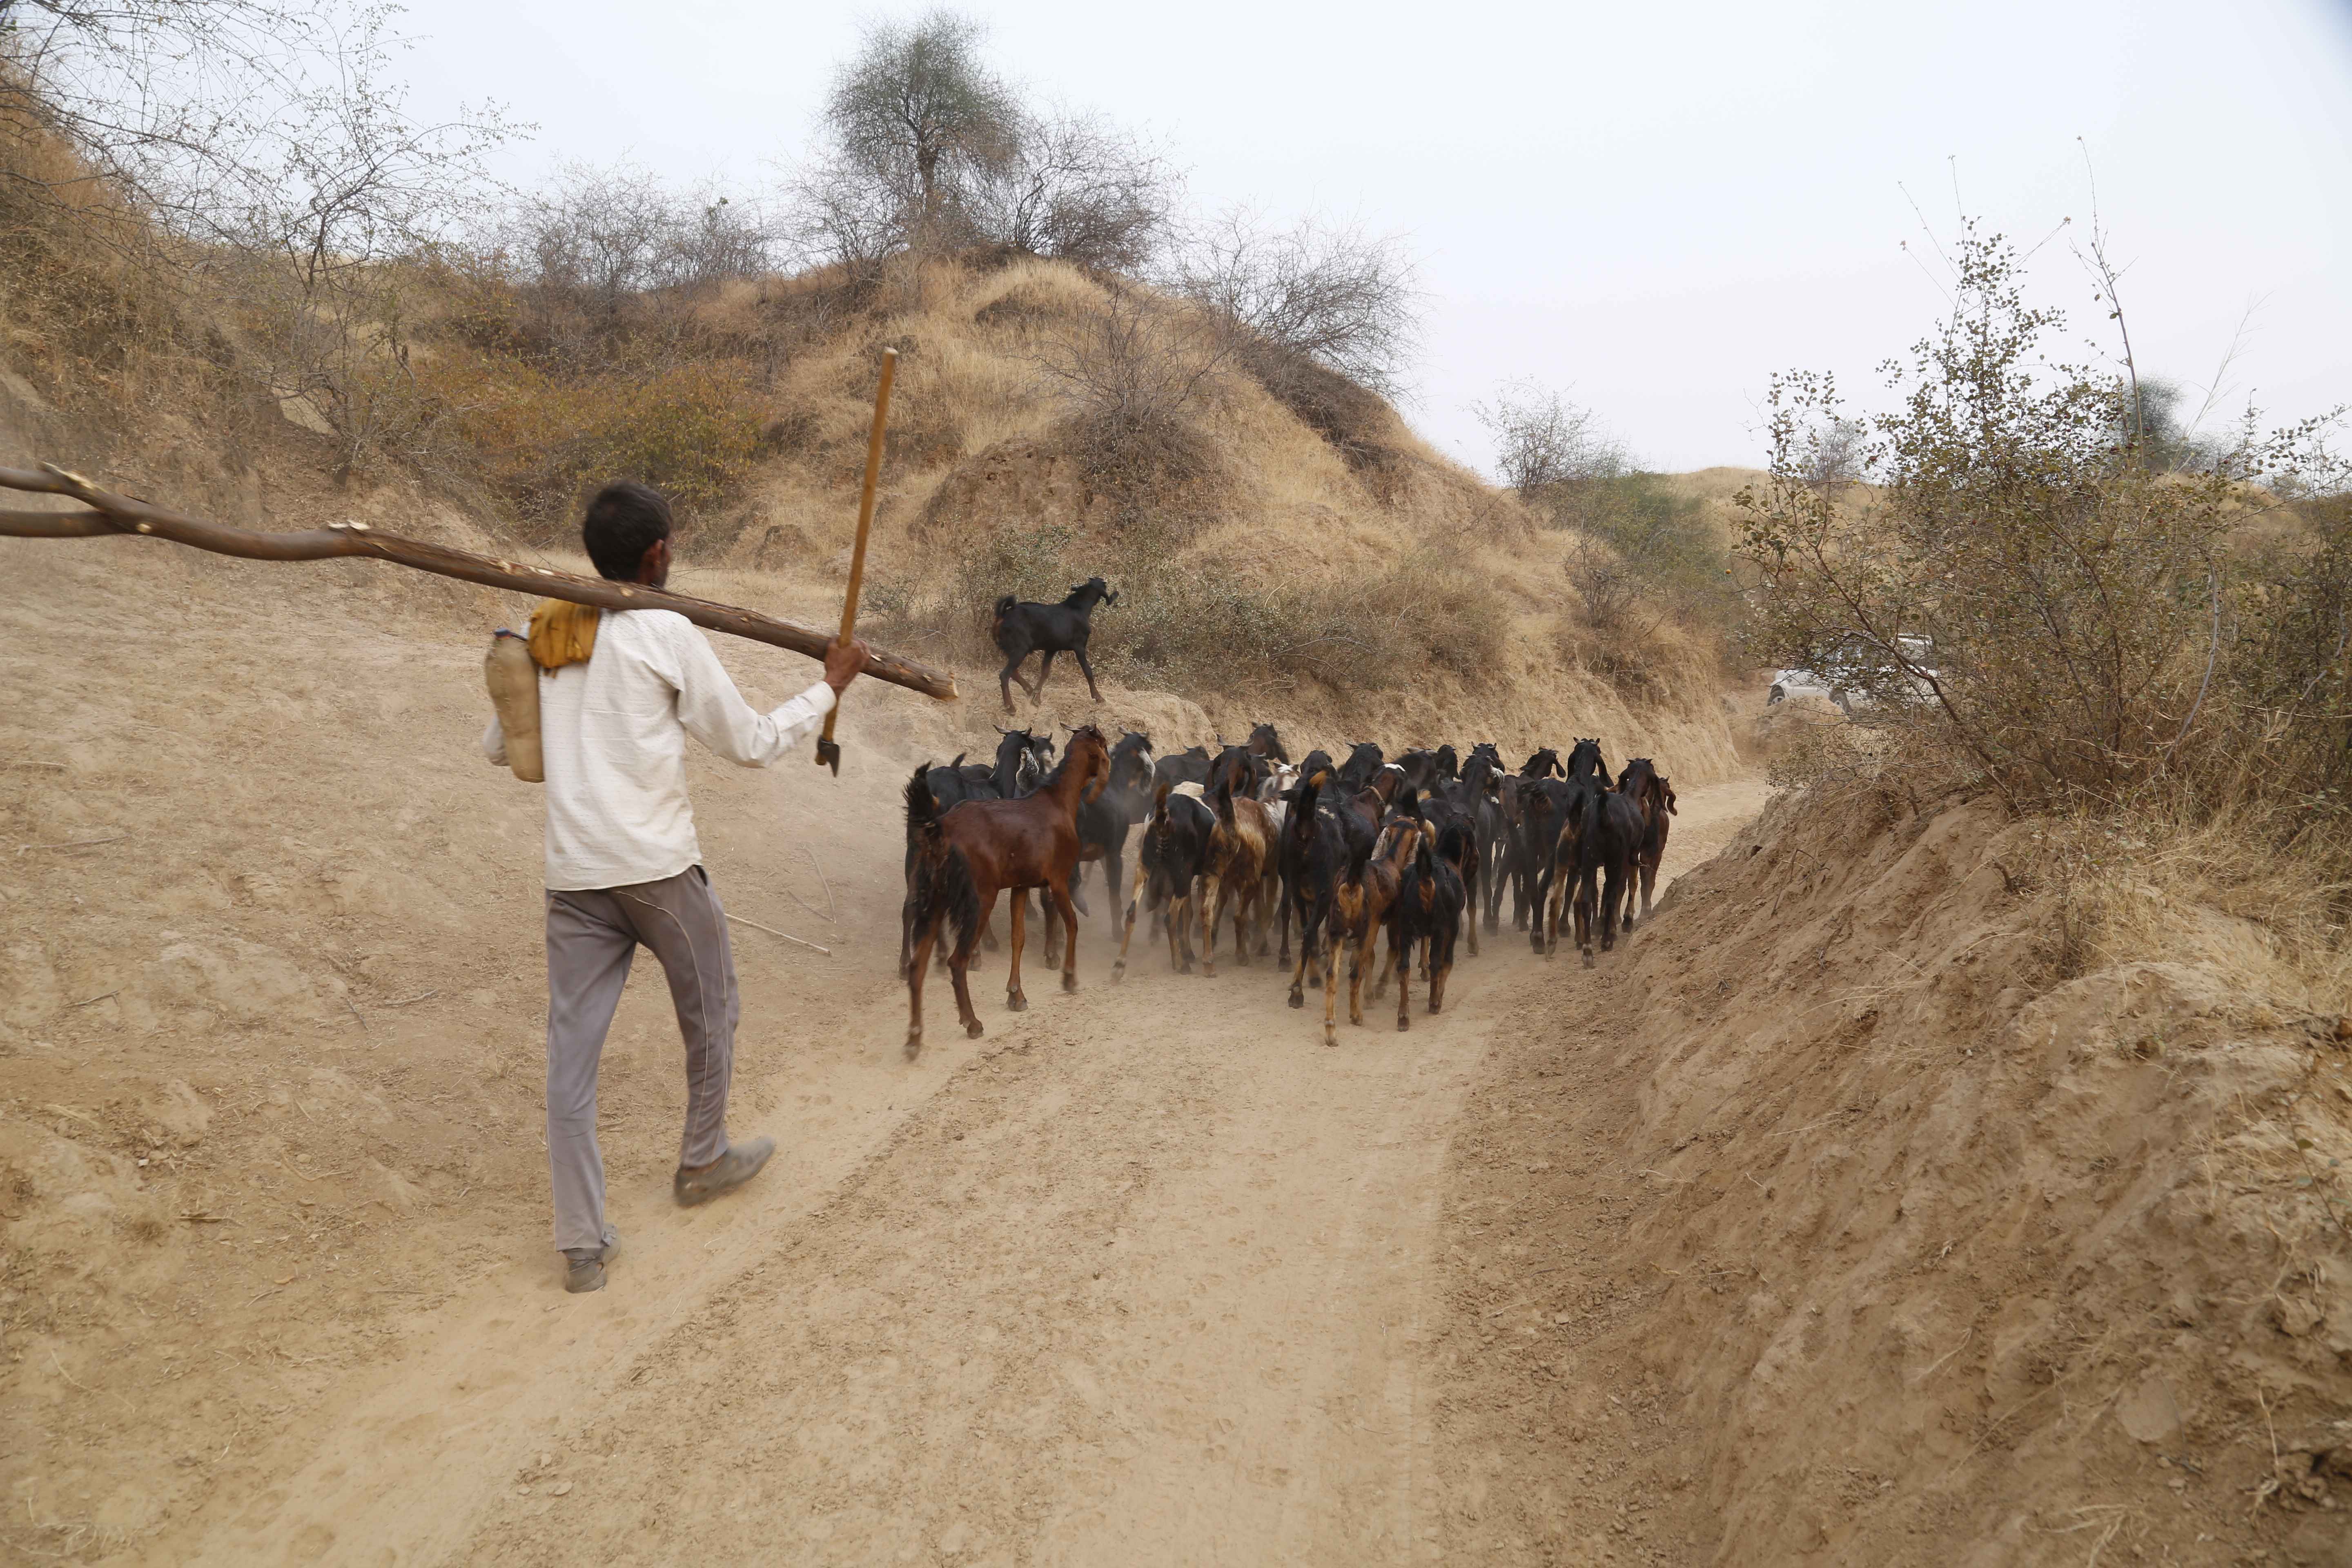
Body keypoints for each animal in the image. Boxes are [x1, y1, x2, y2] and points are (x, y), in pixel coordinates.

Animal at [992, 581, 1119, 715]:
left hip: (1010, 650)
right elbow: (1088, 672)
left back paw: (1030, 691)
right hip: (1020, 649)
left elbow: (1045, 673)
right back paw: (1010, 706)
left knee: (1013, 672)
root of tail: (1002, 616)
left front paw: (1036, 697)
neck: (1079, 608)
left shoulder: (1051, 649)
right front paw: (1098, 697)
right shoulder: (1080, 647)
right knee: (1005, 675)